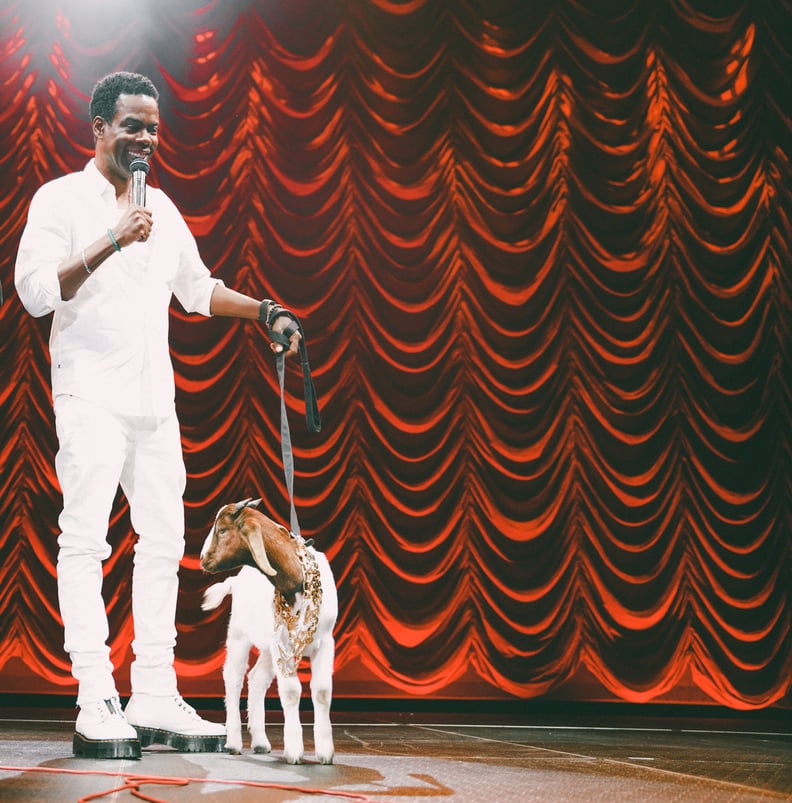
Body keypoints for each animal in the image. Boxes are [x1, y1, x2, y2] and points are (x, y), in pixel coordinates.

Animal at [200, 496, 336, 768]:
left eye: (222, 530)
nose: (202, 558)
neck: (297, 581)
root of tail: (235, 581)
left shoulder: (325, 641)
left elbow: (322, 691)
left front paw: (325, 752)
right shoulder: (282, 644)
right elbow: (292, 692)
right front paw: (294, 750)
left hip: (267, 647)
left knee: (256, 679)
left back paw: (260, 741)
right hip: (239, 635)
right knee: (233, 677)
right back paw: (233, 742)